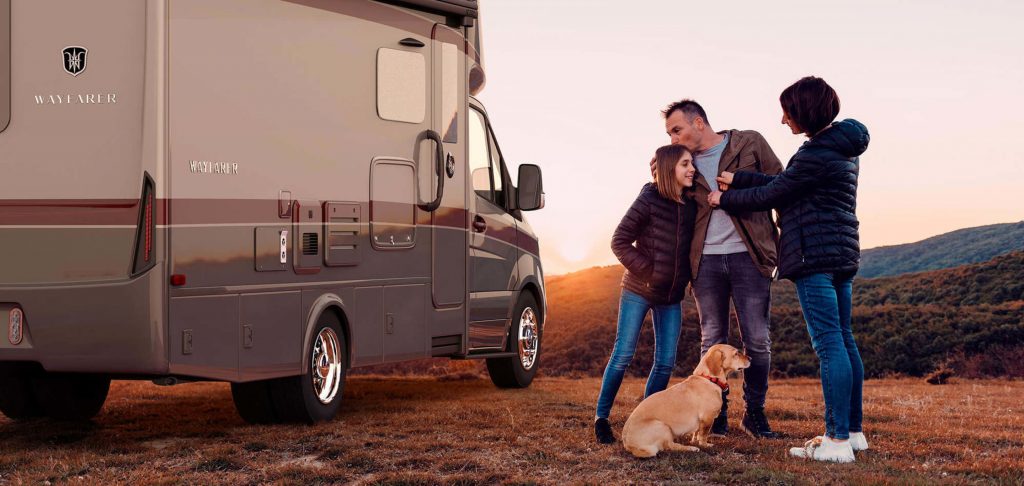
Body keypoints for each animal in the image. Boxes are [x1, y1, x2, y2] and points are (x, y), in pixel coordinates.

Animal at [614, 343, 753, 458]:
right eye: (736, 353)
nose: (751, 358)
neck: (708, 378)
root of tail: (629, 445)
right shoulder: (707, 417)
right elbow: (703, 435)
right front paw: (705, 445)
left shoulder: (700, 421)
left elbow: (696, 433)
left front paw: (694, 441)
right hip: (663, 427)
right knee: (669, 446)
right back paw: (691, 448)